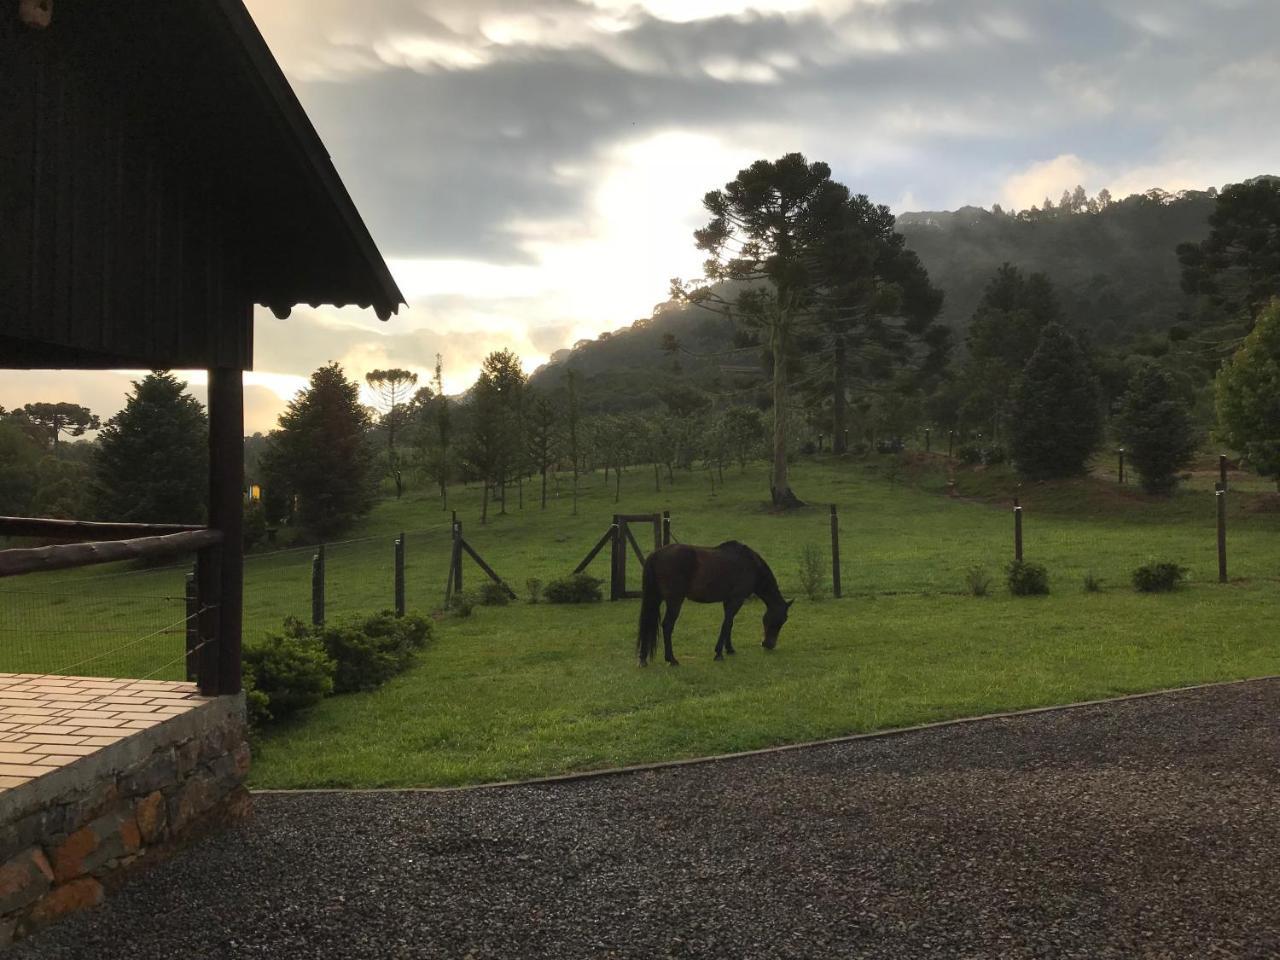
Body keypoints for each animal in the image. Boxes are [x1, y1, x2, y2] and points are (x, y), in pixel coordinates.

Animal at [637, 542, 788, 670]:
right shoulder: (736, 600)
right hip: (674, 601)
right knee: (667, 626)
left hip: (656, 599)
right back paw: (672, 659)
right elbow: (727, 624)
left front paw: (729, 649)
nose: (769, 645)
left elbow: (729, 623)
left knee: (648, 622)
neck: (751, 565)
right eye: (780, 620)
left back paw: (643, 659)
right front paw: (719, 654)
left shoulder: (728, 601)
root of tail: (656, 554)